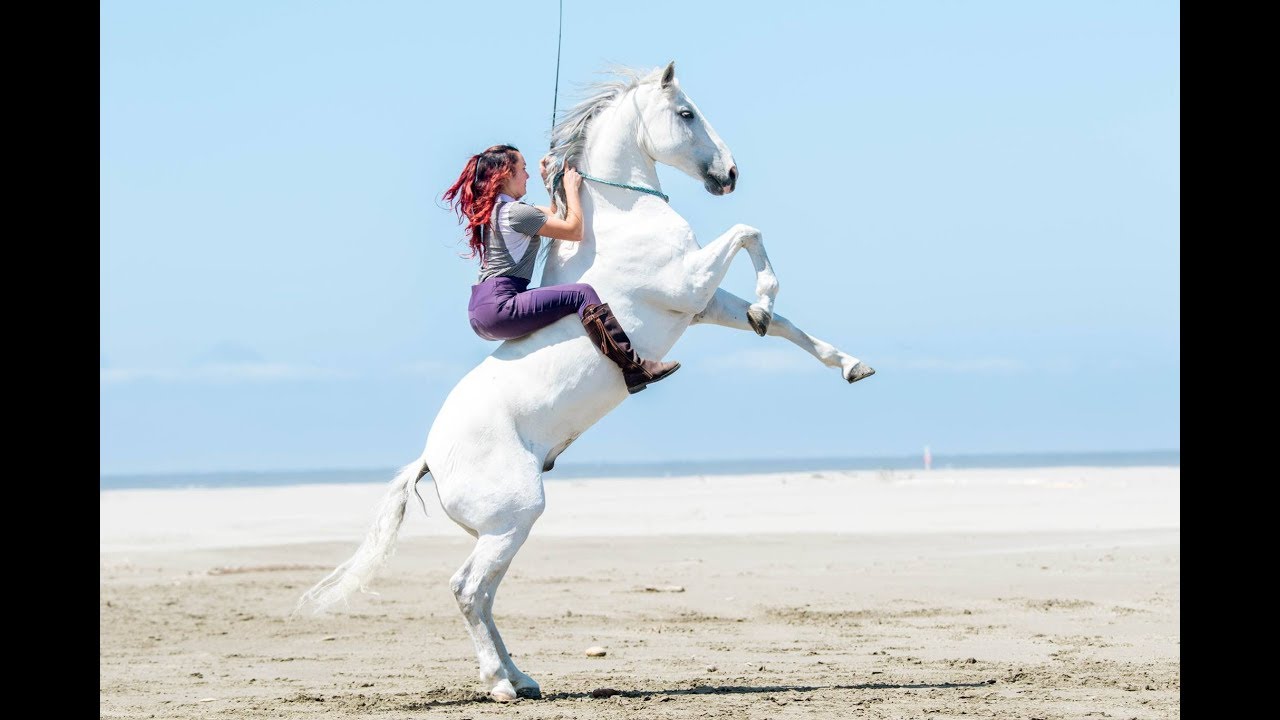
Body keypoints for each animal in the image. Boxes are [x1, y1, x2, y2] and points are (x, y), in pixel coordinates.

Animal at [296, 62, 875, 702]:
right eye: (686, 113)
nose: (729, 175)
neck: (621, 215)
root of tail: (429, 458)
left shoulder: (699, 303)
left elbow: (783, 326)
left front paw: (836, 357)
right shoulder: (689, 283)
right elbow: (750, 231)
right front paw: (767, 303)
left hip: (505, 530)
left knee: (485, 595)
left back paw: (522, 677)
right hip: (515, 517)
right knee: (468, 589)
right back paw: (500, 684)